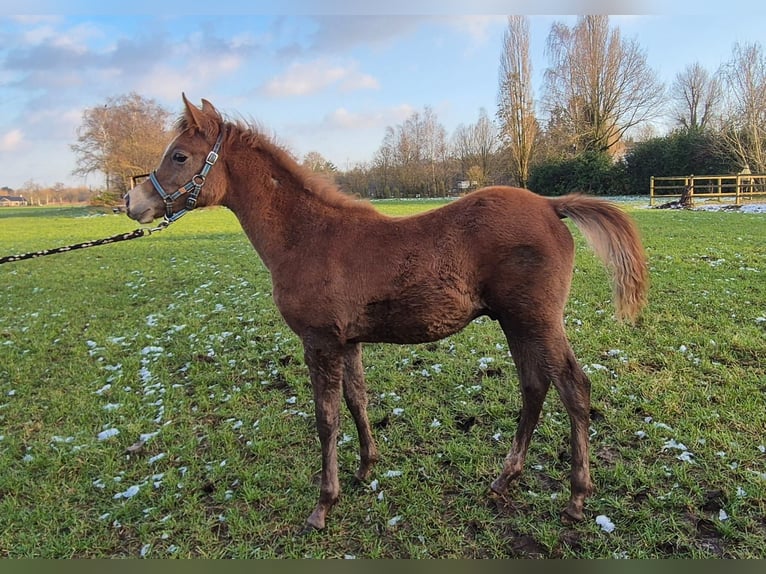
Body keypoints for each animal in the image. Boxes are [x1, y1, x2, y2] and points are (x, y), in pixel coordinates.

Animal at [124, 93, 648, 532]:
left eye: (179, 156)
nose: (133, 202)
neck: (308, 235)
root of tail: (550, 204)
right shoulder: (348, 340)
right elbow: (357, 400)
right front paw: (365, 469)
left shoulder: (319, 341)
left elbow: (326, 417)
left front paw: (323, 504)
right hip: (516, 323)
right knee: (535, 387)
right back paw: (504, 480)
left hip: (535, 320)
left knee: (573, 387)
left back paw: (576, 499)